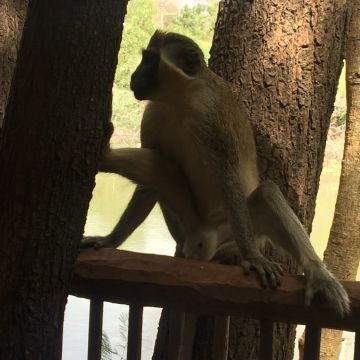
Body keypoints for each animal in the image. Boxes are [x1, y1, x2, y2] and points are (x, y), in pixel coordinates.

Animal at [81, 31, 348, 318]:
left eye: (150, 60)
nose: (133, 75)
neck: (180, 101)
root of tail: (203, 241)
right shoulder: (152, 114)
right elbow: (149, 183)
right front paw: (110, 240)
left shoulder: (213, 120)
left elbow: (228, 177)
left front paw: (253, 258)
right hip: (191, 225)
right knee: (161, 166)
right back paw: (106, 156)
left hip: (235, 234)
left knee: (265, 194)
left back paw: (316, 273)